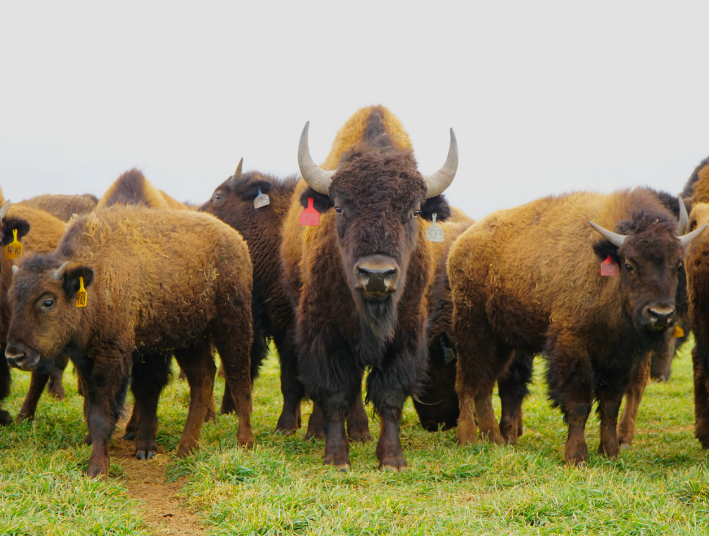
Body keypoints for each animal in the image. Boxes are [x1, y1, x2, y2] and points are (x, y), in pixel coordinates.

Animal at [280, 104, 456, 468]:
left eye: (414, 211)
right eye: (339, 207)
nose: (376, 275)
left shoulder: (406, 333)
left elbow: (389, 395)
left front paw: (392, 459)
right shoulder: (323, 332)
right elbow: (333, 393)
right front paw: (336, 458)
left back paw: (360, 431)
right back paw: (318, 432)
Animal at [448, 189, 704, 464]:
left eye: (677, 265)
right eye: (629, 264)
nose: (660, 315)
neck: (604, 274)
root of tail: (461, 243)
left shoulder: (618, 357)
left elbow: (610, 404)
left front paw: (610, 452)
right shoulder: (572, 348)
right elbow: (579, 402)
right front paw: (577, 456)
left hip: (503, 341)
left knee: (484, 385)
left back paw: (494, 440)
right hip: (473, 330)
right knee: (467, 382)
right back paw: (467, 438)